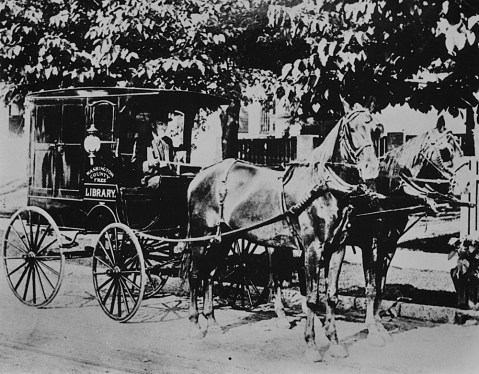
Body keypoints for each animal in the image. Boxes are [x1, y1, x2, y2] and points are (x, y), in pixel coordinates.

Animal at [186, 101, 384, 360]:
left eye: (377, 129)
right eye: (351, 129)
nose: (371, 168)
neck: (323, 188)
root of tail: (201, 174)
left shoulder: (337, 249)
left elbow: (331, 296)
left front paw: (335, 343)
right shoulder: (312, 250)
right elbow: (312, 298)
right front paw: (311, 346)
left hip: (225, 238)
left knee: (209, 275)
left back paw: (212, 322)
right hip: (202, 236)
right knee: (195, 274)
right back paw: (194, 324)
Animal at [326, 116, 472, 348]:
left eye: (460, 146)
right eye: (446, 151)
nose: (467, 183)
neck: (385, 192)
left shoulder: (389, 246)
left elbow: (380, 287)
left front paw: (379, 327)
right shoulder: (372, 245)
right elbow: (371, 288)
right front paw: (372, 331)